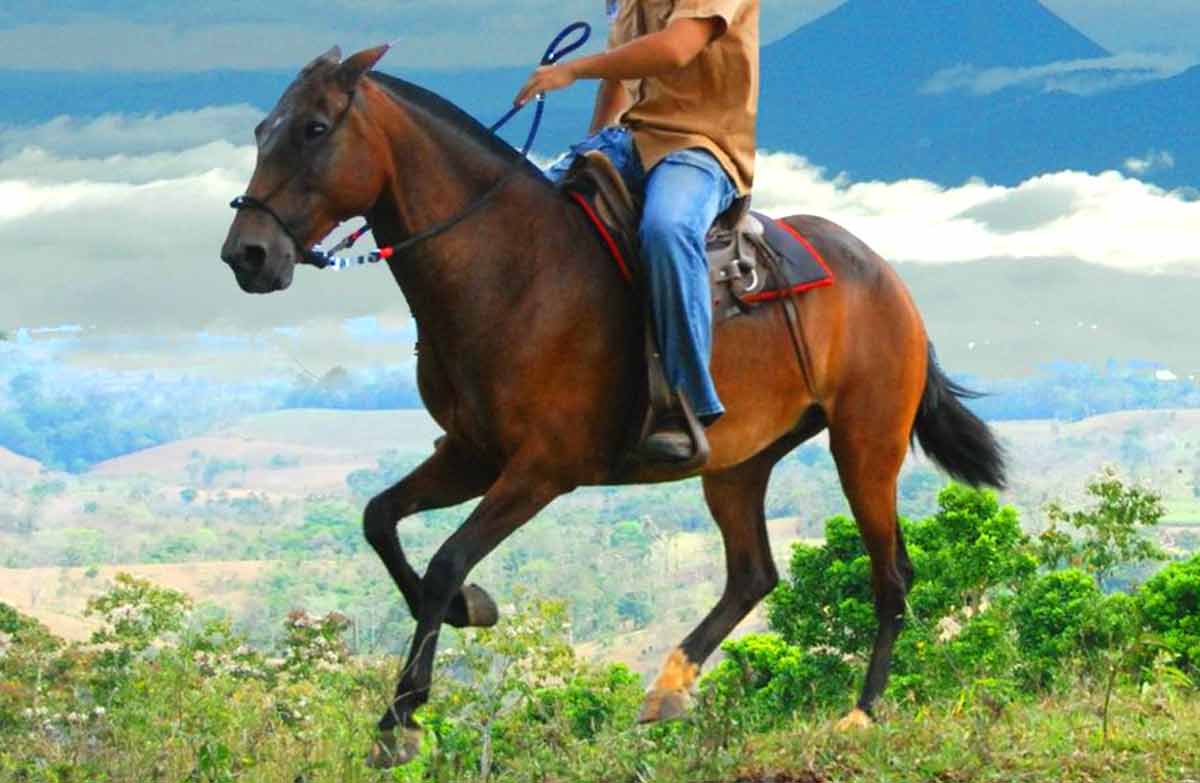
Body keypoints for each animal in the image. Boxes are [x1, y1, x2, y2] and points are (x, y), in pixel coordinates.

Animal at [220, 45, 1006, 767]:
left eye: (315, 128)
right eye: (262, 130)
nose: (246, 255)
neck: (510, 268)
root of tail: (887, 280)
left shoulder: (541, 469)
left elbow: (444, 561)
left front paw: (403, 715)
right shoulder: (471, 455)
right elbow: (378, 519)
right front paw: (468, 613)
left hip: (864, 443)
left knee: (891, 577)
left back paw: (861, 712)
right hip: (739, 461)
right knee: (753, 573)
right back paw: (669, 687)